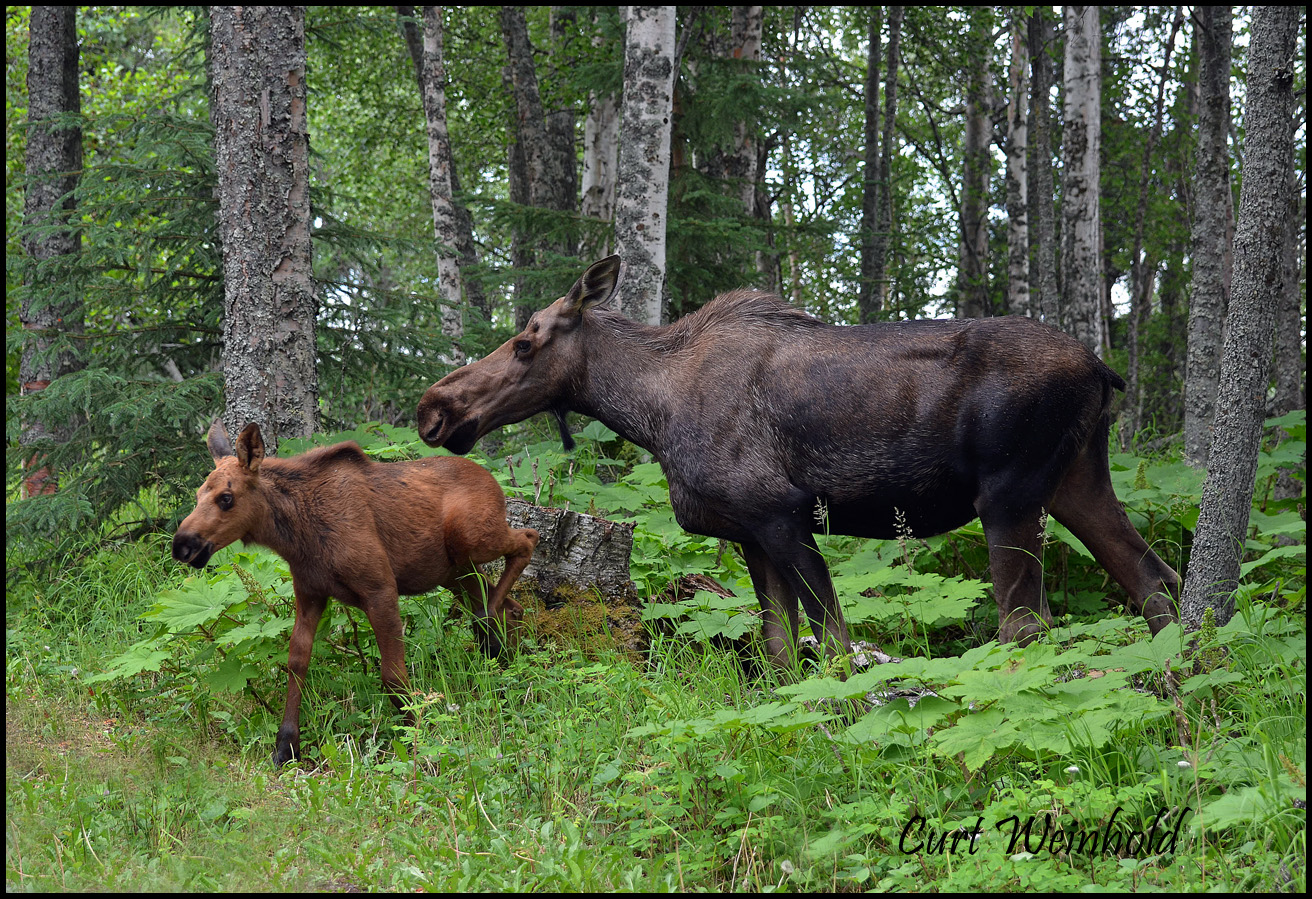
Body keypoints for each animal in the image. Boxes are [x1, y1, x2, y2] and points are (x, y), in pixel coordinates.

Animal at [173, 419, 537, 766]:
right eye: (198, 494)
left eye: (226, 498)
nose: (182, 545)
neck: (295, 536)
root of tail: (493, 482)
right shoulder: (309, 594)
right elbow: (296, 662)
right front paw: (286, 746)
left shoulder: (380, 589)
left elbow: (393, 674)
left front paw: (418, 735)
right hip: (454, 570)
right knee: (509, 603)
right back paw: (502, 655)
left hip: (470, 539)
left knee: (528, 540)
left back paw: (490, 631)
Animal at [414, 255, 1186, 669]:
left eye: (525, 341)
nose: (434, 408)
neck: (653, 411)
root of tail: (1103, 370)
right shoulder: (749, 535)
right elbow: (782, 649)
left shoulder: (781, 513)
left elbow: (836, 642)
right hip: (1076, 480)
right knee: (1157, 581)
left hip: (1011, 493)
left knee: (1025, 624)